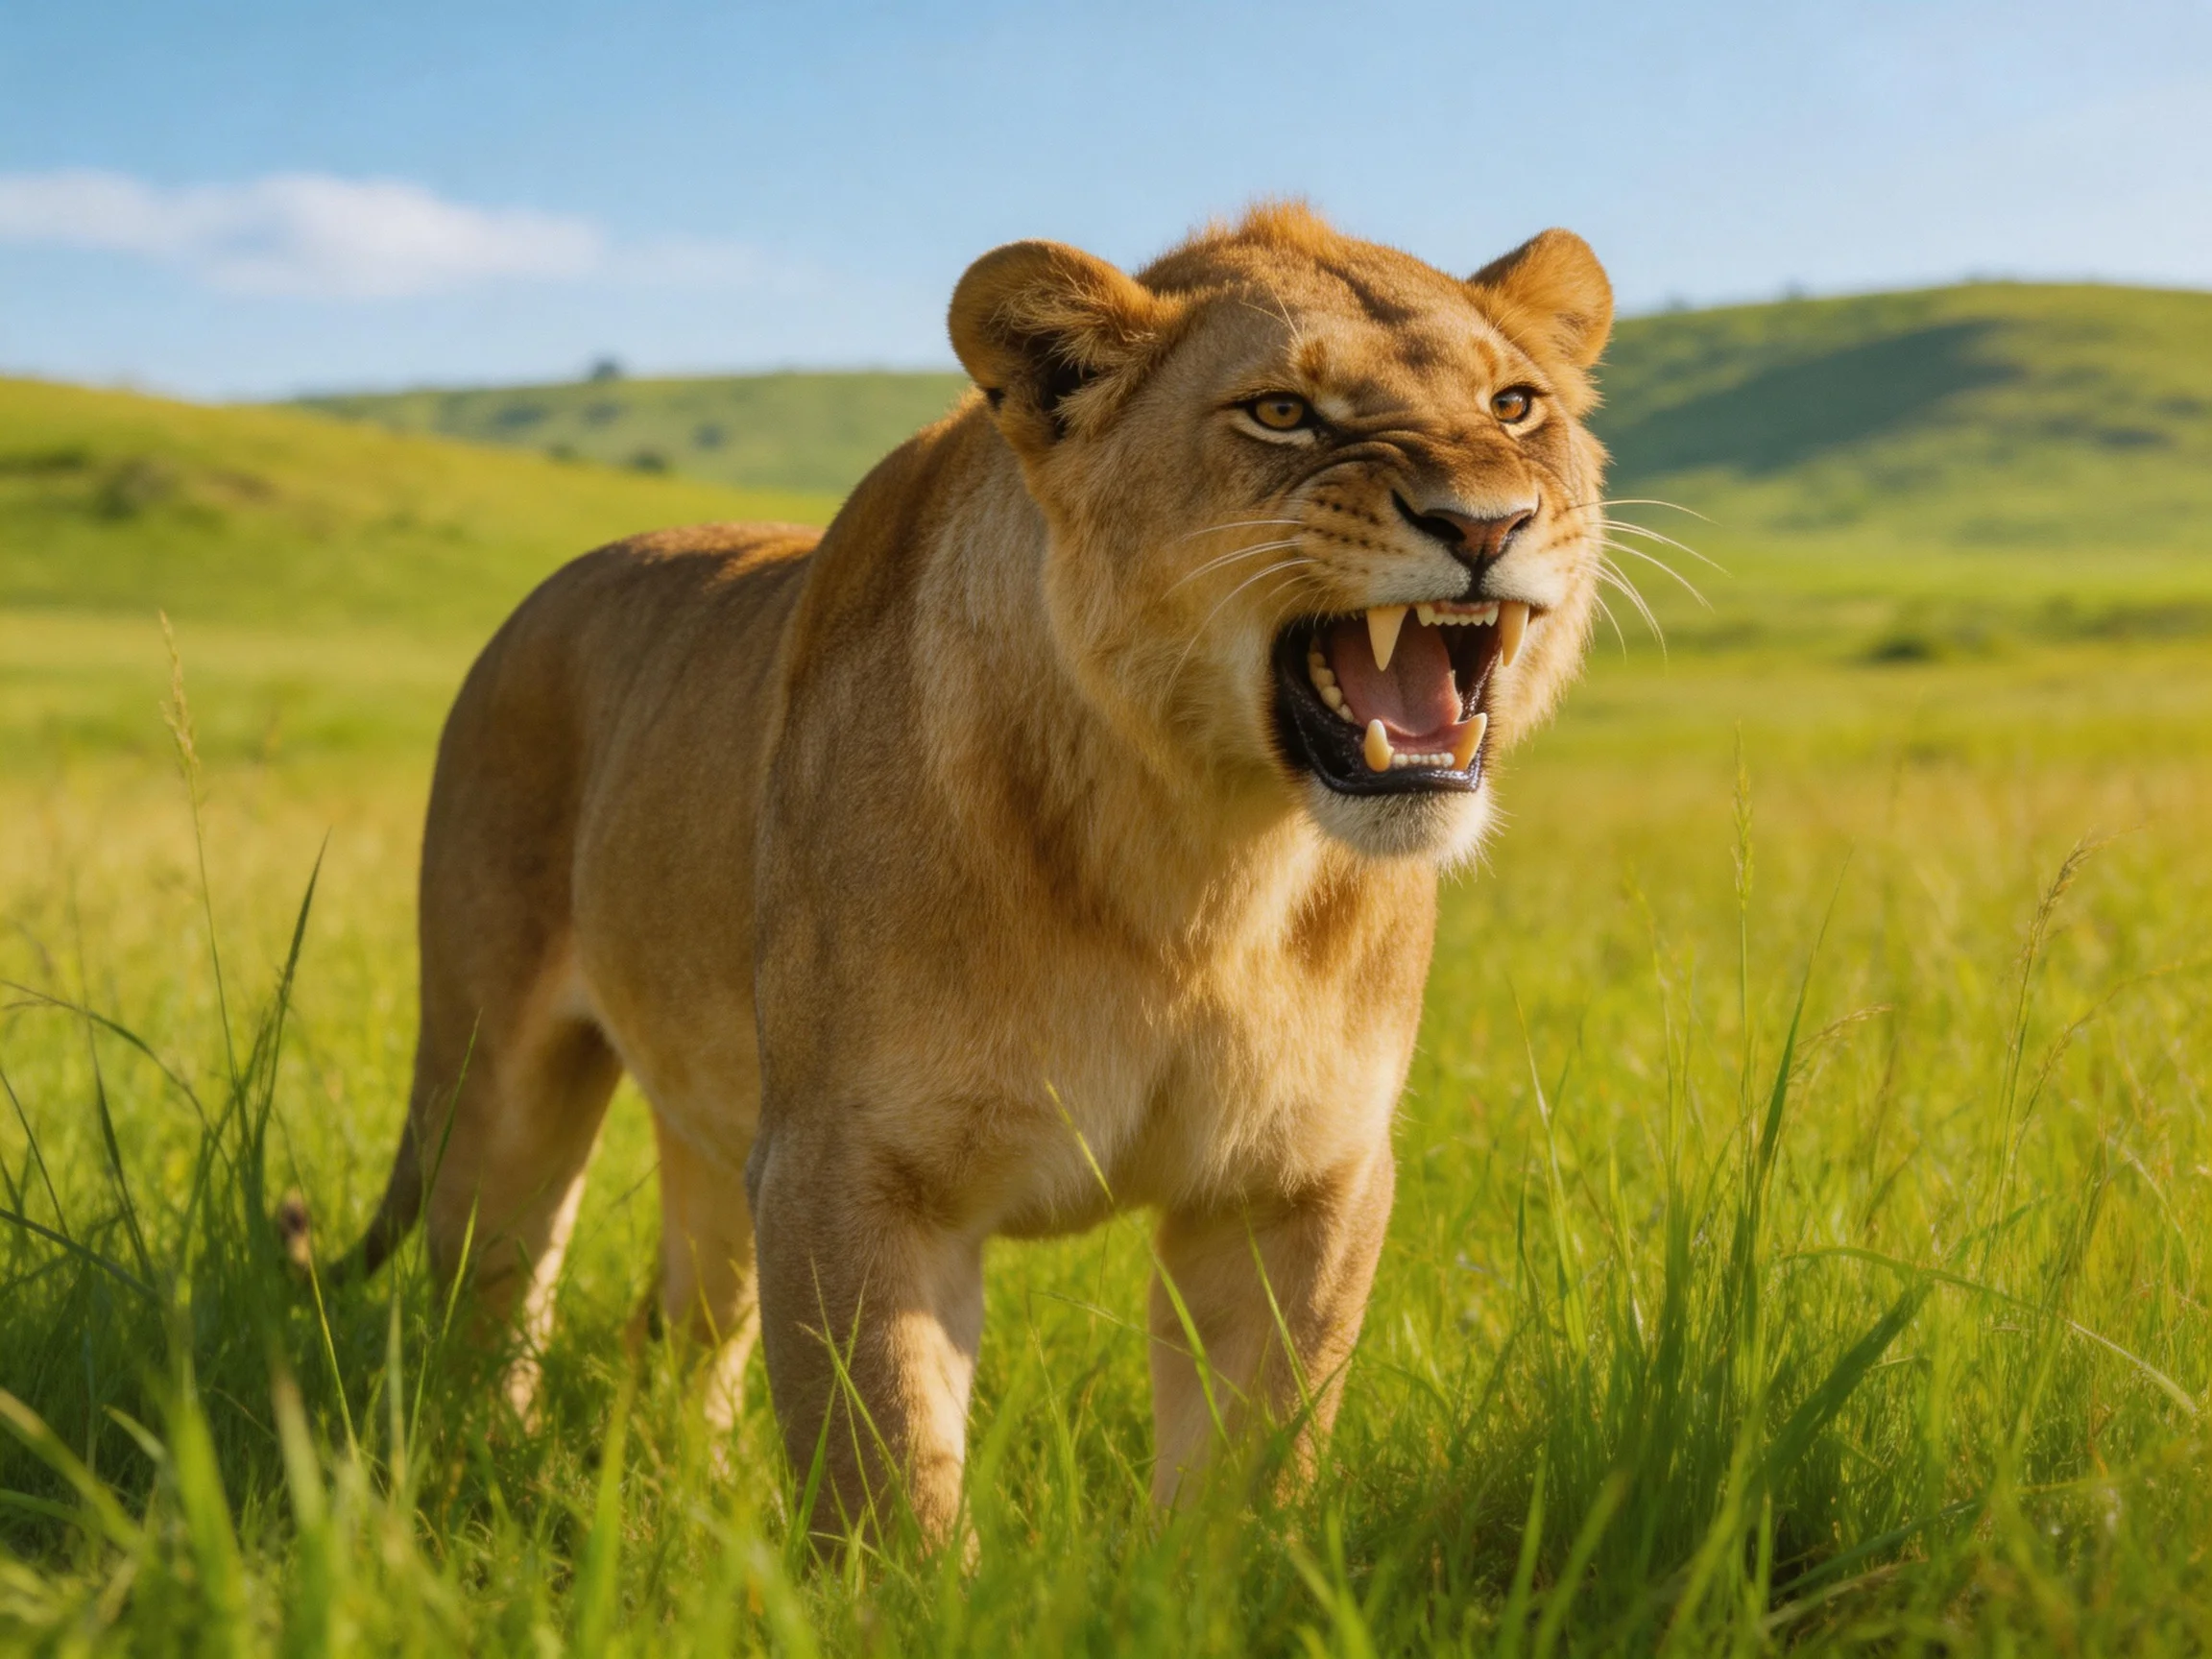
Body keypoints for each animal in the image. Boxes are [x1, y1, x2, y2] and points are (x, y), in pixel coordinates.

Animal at [350, 203, 1611, 1542]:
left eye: (1515, 406)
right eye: (1281, 412)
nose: (1484, 524)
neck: (1206, 860)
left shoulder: (1297, 1183)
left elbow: (1251, 1472)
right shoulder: (849, 1167)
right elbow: (884, 1482)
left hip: (711, 1123)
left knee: (682, 1325)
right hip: (499, 1076)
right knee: (487, 1288)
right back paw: (479, 1472)